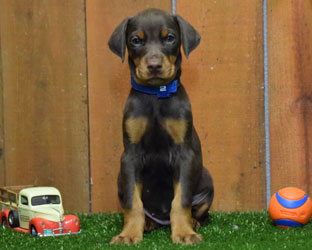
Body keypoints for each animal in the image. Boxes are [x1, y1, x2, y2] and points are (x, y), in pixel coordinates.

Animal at [108, 8, 213, 245]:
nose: (154, 66)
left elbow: (181, 201)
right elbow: (133, 203)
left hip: (207, 180)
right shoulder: (130, 157)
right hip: (119, 179)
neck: (156, 96)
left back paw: (194, 223)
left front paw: (184, 233)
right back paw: (148, 224)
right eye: (135, 40)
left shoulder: (185, 155)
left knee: (199, 211)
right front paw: (128, 234)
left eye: (170, 38)